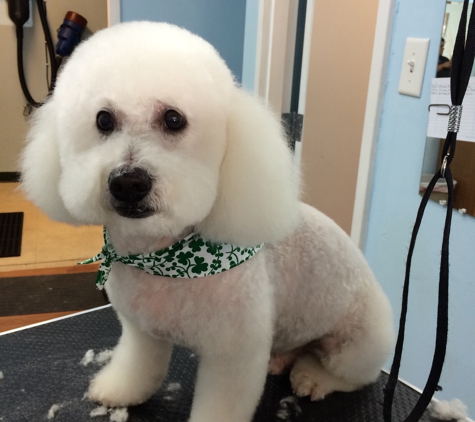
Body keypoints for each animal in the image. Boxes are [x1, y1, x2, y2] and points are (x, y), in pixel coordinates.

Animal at [20, 20, 394, 422]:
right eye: (103, 120)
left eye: (173, 119)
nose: (128, 182)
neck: (163, 257)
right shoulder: (141, 330)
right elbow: (138, 367)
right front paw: (120, 391)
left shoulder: (234, 353)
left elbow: (224, 399)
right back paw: (283, 359)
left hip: (356, 343)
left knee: (353, 374)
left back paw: (313, 377)